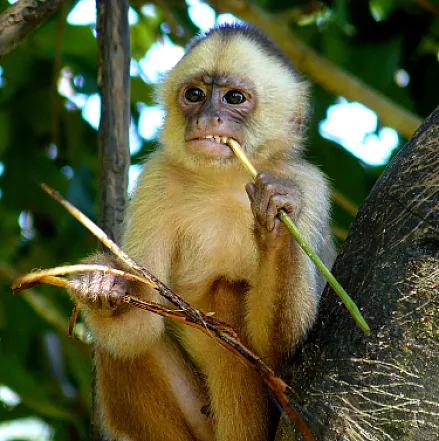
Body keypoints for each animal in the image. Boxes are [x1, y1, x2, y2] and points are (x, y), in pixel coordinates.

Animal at [70, 23, 336, 440]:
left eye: (234, 97)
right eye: (194, 95)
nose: (207, 118)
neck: (225, 182)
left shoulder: (309, 185)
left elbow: (283, 354)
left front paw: (277, 217)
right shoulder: (157, 178)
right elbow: (139, 325)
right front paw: (101, 286)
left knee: (227, 292)